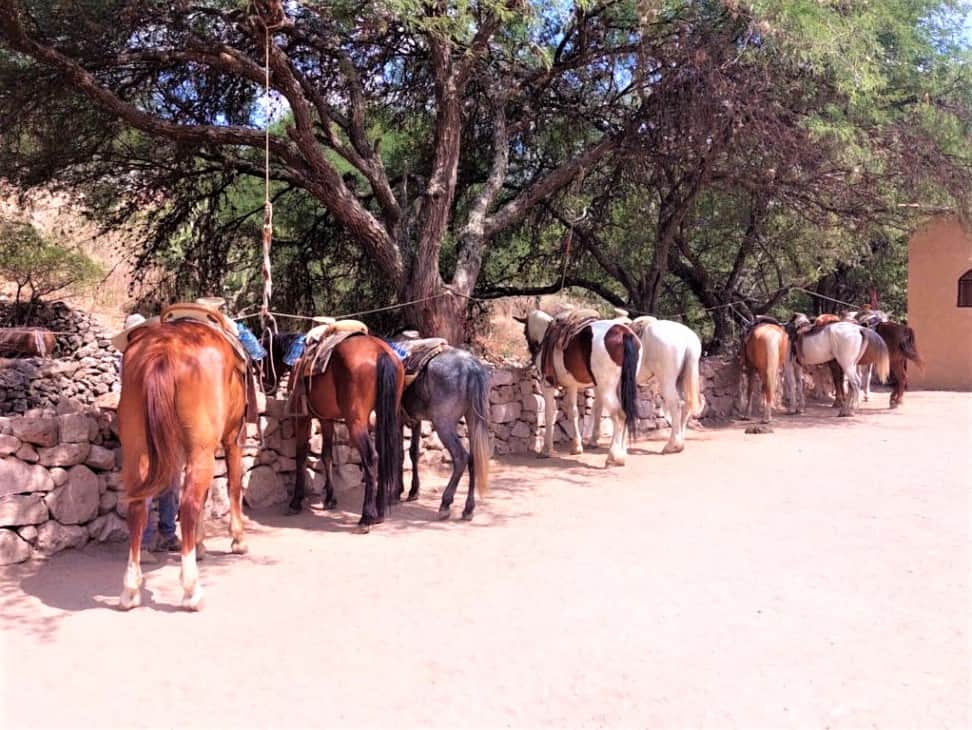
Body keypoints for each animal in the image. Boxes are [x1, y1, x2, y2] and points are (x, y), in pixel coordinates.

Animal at [117, 320, 249, 611]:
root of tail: (164, 351)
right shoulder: (232, 439)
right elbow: (233, 486)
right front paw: (238, 540)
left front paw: (200, 545)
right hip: (203, 450)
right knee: (188, 505)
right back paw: (191, 590)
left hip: (137, 448)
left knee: (137, 508)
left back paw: (130, 589)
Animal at [263, 330, 404, 533]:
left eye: (264, 358)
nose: (265, 384)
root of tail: (380, 352)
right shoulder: (326, 419)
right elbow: (327, 455)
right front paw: (330, 499)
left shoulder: (302, 418)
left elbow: (301, 456)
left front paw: (296, 501)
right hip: (386, 416)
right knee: (386, 454)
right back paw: (379, 514)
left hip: (356, 422)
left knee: (371, 458)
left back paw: (366, 518)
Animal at [390, 335, 492, 521]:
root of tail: (472, 367)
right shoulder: (415, 420)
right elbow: (413, 452)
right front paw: (413, 491)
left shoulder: (397, 419)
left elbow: (398, 453)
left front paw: (396, 492)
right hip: (473, 419)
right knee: (473, 458)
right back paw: (468, 509)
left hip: (443, 424)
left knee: (461, 457)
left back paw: (445, 503)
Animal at [515, 310, 640, 466]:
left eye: (525, 332)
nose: (532, 352)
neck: (545, 336)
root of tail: (624, 333)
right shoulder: (572, 385)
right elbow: (573, 412)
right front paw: (576, 446)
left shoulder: (547, 385)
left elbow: (549, 414)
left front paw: (546, 449)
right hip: (621, 386)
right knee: (626, 413)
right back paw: (621, 454)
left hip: (606, 388)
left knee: (619, 415)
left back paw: (613, 457)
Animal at [625, 316, 704, 453]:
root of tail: (688, 341)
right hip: (680, 379)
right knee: (685, 404)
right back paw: (679, 442)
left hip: (667, 380)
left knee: (675, 403)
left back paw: (673, 445)